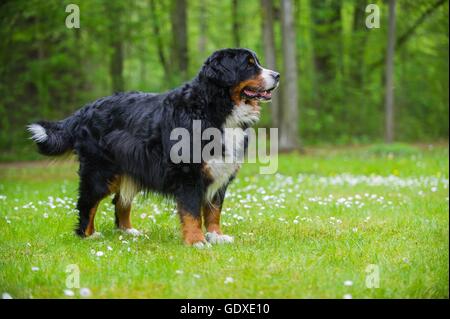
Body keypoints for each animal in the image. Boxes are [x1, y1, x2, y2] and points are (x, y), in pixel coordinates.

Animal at [28, 48, 280, 248]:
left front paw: (216, 236)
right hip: (100, 173)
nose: (277, 75)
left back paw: (128, 232)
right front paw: (196, 241)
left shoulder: (219, 173)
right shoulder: (189, 174)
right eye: (249, 64)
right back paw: (87, 236)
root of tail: (85, 109)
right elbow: (192, 212)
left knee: (120, 202)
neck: (214, 108)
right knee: (87, 203)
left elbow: (213, 211)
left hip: (131, 171)